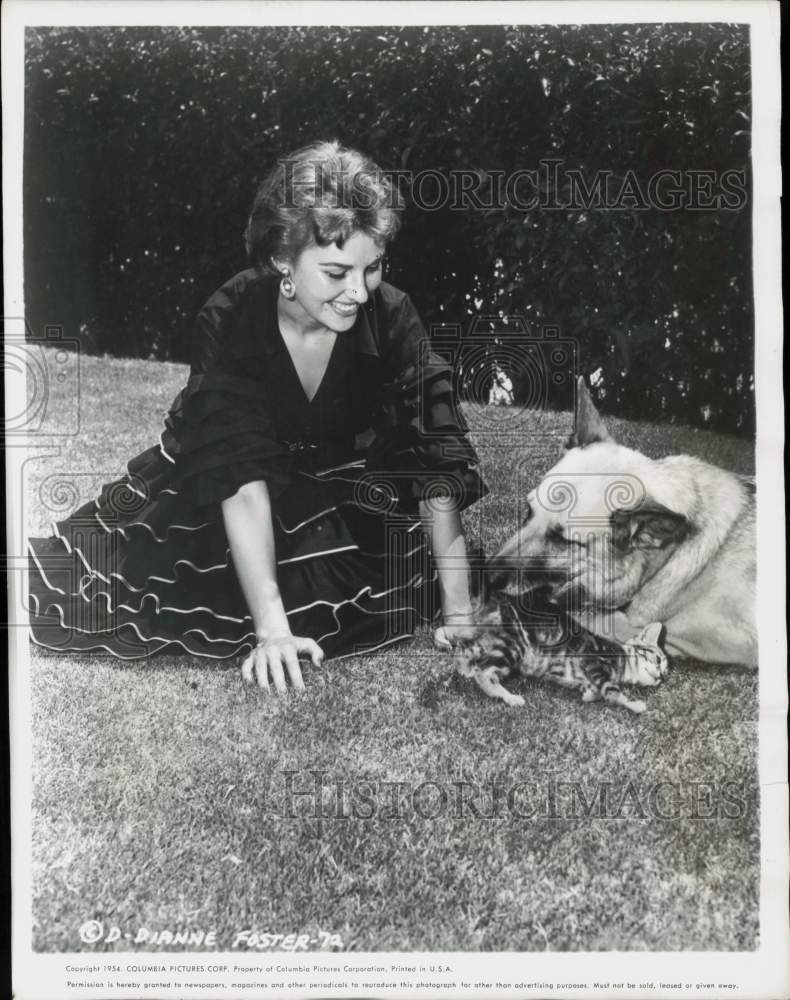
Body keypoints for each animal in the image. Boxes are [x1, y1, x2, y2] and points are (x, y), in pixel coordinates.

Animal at [458, 592, 668, 712]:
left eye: (666, 673)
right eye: (658, 660)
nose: (661, 677)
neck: (622, 659)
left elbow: (596, 690)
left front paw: (590, 694)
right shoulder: (593, 659)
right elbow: (612, 691)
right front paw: (634, 705)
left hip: (497, 641)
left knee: (469, 651)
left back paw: (464, 669)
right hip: (515, 643)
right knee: (483, 671)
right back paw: (508, 697)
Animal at [488, 378, 760, 668]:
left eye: (562, 540)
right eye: (528, 511)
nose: (487, 577)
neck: (670, 555)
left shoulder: (726, 638)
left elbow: (590, 615)